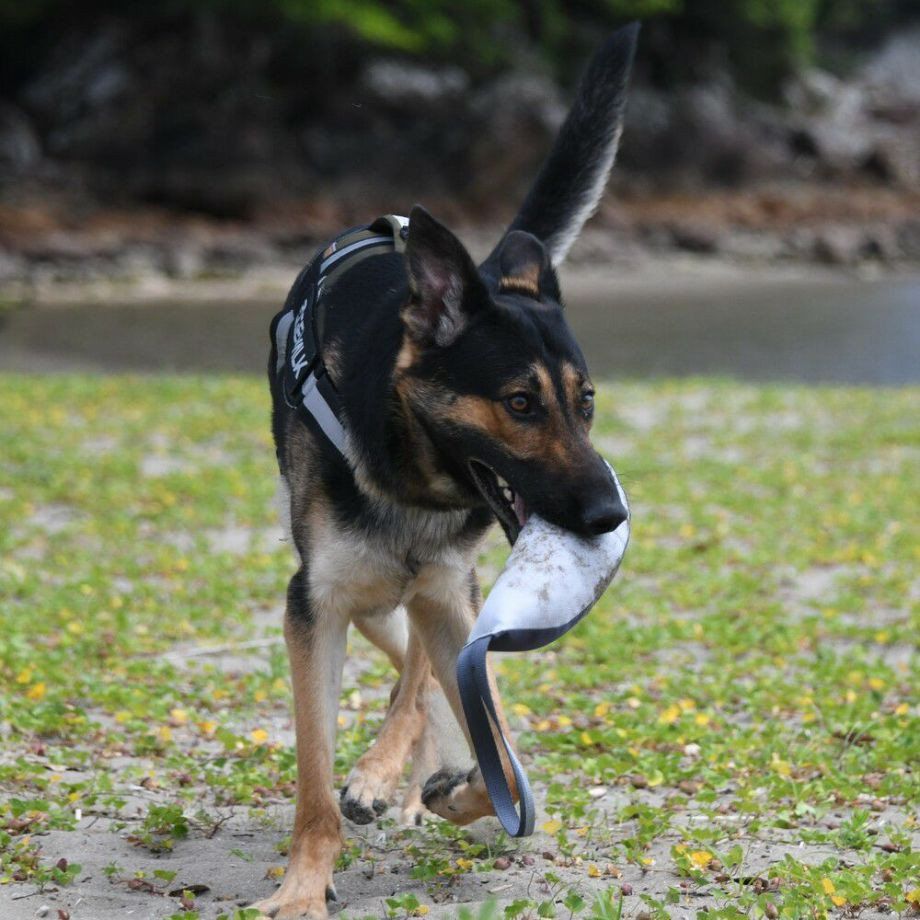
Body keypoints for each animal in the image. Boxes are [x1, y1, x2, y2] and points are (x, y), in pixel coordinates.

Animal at [255, 23, 636, 920]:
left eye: (585, 402)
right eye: (521, 403)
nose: (608, 515)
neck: (410, 472)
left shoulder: (451, 596)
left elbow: (507, 765)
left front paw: (453, 788)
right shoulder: (314, 604)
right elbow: (315, 781)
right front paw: (305, 884)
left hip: (435, 591)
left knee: (420, 670)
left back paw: (396, 776)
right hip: (365, 597)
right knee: (404, 662)